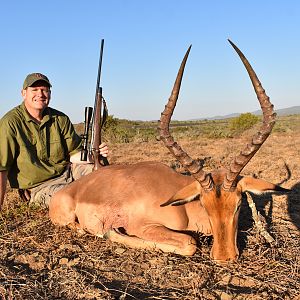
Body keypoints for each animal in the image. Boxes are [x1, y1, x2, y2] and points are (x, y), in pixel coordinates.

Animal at [49, 40, 288, 262]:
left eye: (238, 204)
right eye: (204, 204)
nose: (224, 257)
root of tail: (68, 190)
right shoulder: (144, 226)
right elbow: (190, 242)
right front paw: (111, 231)